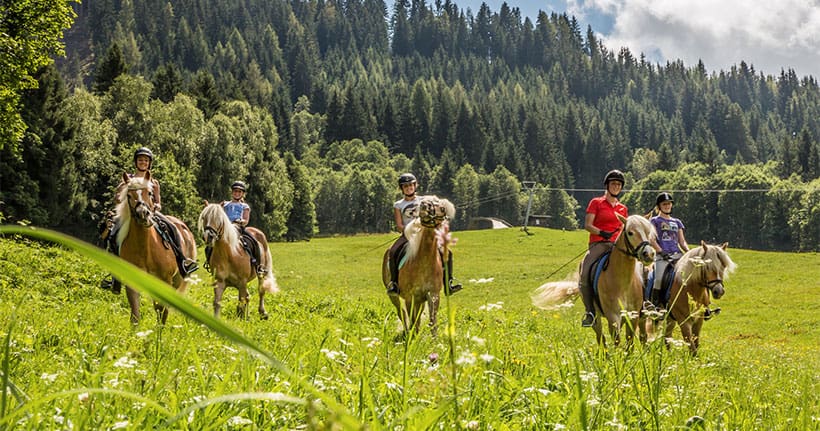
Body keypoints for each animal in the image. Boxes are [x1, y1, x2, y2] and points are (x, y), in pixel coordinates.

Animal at [114, 171, 198, 324]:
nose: (143, 214)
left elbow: (161, 309)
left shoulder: (163, 280)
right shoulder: (132, 280)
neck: (145, 249)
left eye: (150, 193)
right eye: (129, 195)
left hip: (177, 280)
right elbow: (135, 314)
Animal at [380, 196, 454, 338]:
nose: (425, 205)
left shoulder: (433, 295)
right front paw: (412, 338)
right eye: (423, 203)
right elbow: (412, 318)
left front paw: (433, 340)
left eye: (442, 208)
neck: (424, 262)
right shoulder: (410, 297)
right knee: (401, 312)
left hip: (420, 300)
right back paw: (406, 332)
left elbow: (432, 321)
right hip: (394, 296)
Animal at [532, 215, 660, 348]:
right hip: (596, 318)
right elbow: (617, 342)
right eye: (630, 233)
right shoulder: (613, 316)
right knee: (601, 339)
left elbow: (629, 344)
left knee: (641, 337)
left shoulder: (633, 316)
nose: (649, 254)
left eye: (648, 232)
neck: (624, 283)